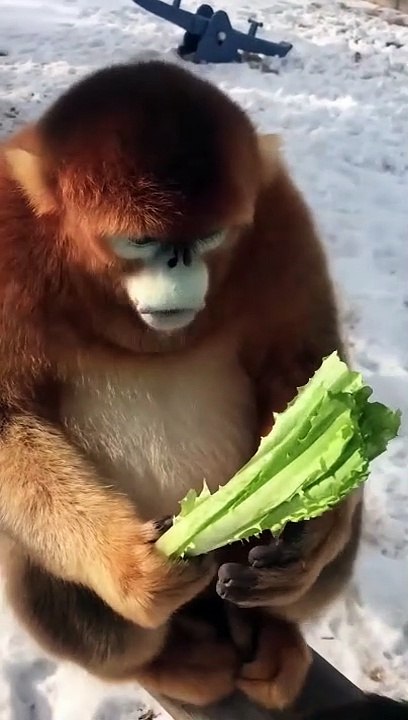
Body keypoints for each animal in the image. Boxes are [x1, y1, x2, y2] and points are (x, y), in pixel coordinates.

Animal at [0, 60, 363, 710]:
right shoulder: (5, 234)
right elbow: (5, 416)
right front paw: (130, 566)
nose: (179, 264)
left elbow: (302, 365)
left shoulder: (279, 213)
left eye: (209, 237)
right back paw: (172, 661)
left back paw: (275, 628)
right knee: (34, 560)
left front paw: (307, 529)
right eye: (142, 242)